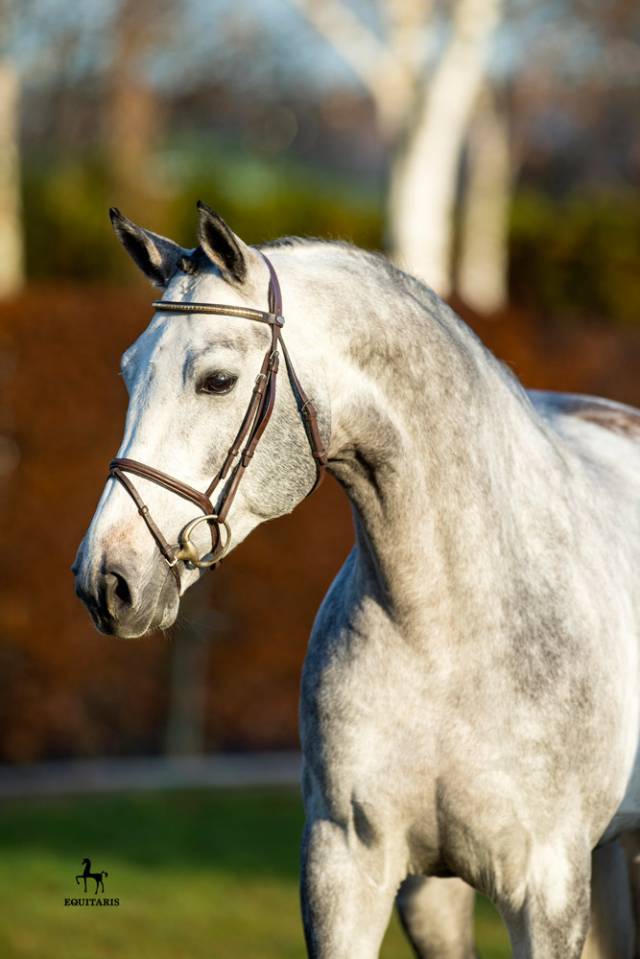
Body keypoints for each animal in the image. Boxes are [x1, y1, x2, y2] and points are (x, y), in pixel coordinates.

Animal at [73, 202, 640, 957]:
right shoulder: (346, 870)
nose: (106, 580)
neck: (446, 630)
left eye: (216, 380)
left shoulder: (545, 891)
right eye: (129, 373)